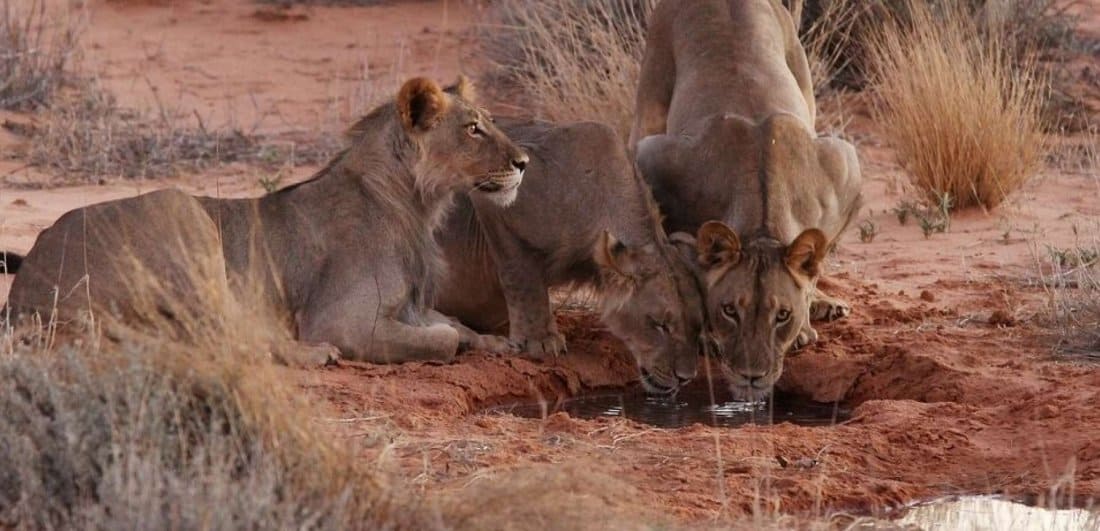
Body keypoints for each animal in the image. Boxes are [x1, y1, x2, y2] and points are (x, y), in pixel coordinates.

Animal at [3, 76, 529, 365]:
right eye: (473, 129)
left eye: (489, 120)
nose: (524, 162)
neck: (417, 204)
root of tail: (27, 292)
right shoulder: (342, 319)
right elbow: (442, 338)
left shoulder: (412, 303)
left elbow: (453, 323)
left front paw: (497, 343)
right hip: (184, 214)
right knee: (228, 336)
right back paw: (312, 355)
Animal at [434, 119, 709, 395]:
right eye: (660, 325)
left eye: (697, 326)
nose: (686, 377)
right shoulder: (497, 198)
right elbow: (523, 280)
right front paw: (539, 341)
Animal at [630, 0, 863, 399]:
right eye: (729, 310)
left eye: (782, 315)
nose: (751, 376)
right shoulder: (655, 159)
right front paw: (704, 333)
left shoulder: (845, 164)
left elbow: (816, 260)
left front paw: (806, 319)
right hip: (650, 98)